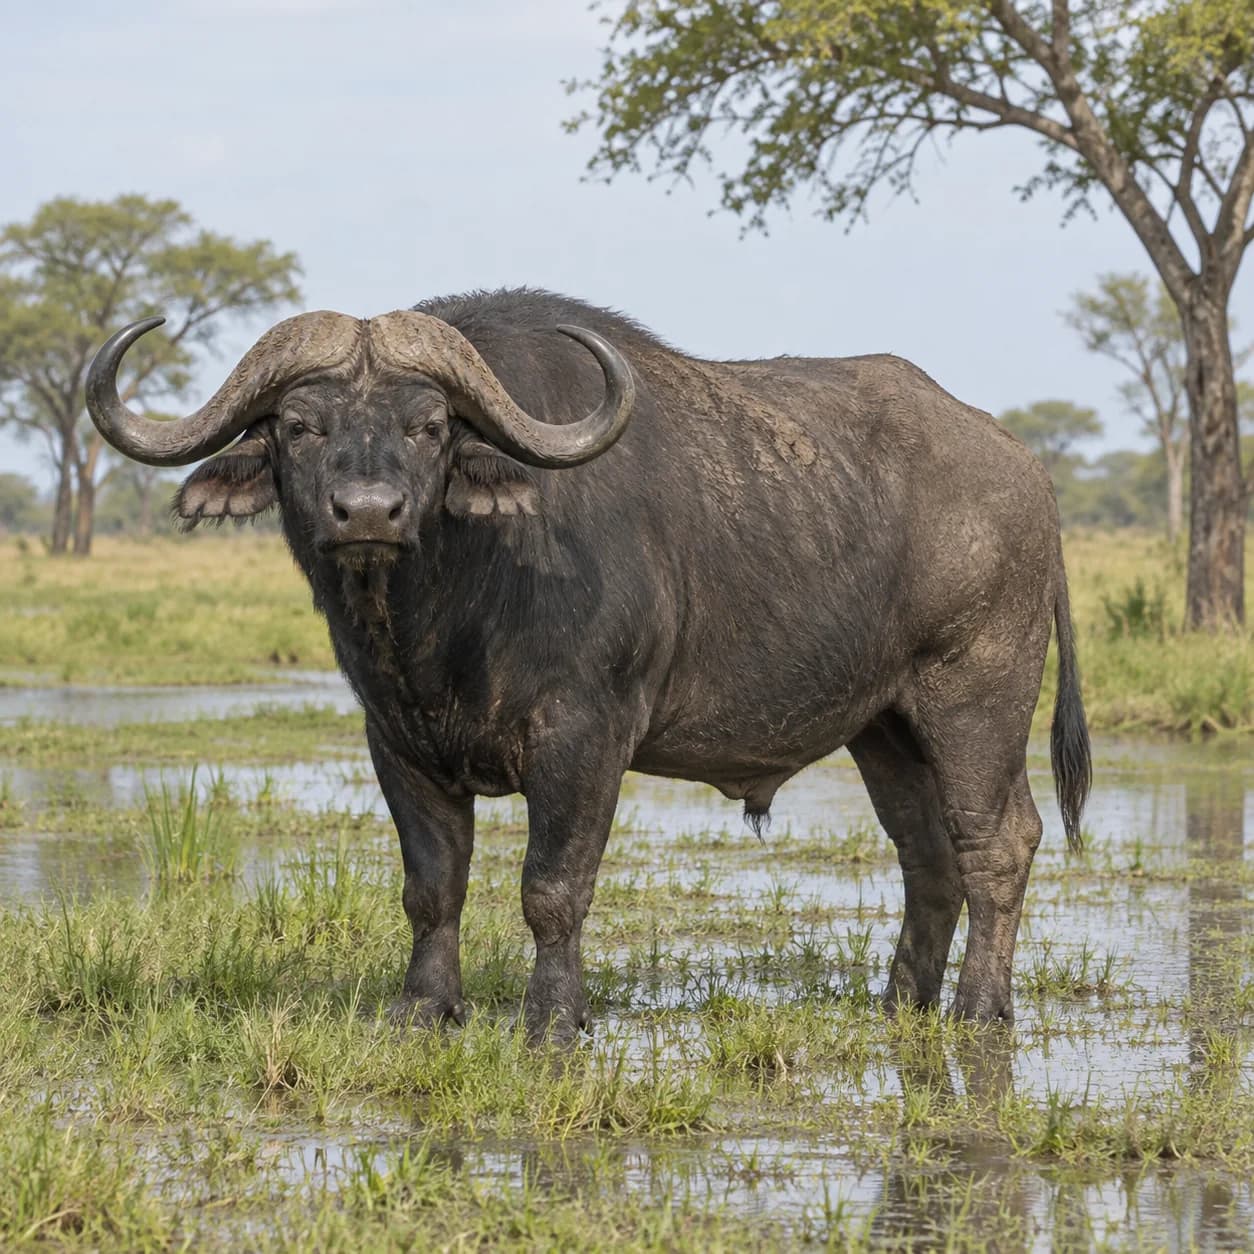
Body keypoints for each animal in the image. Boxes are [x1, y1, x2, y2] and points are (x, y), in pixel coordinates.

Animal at [86, 288, 1091, 1042]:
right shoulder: (397, 742)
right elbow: (432, 887)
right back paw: (901, 1003)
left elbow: (553, 889)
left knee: (998, 841)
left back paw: (979, 1009)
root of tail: (1028, 475)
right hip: (885, 725)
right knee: (928, 855)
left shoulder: (584, 737)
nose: (367, 512)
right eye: (298, 424)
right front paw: (424, 1008)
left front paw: (554, 1018)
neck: (446, 612)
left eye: (428, 426)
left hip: (975, 696)